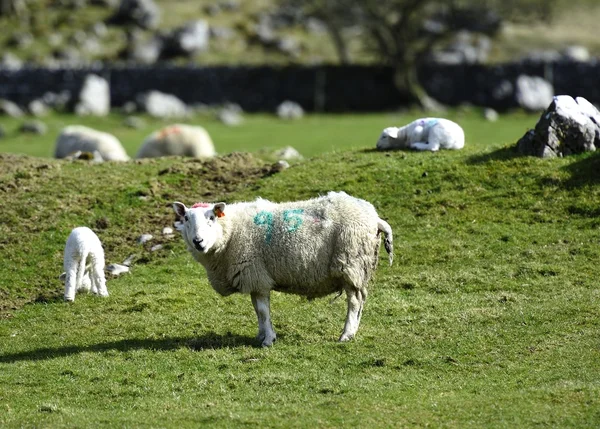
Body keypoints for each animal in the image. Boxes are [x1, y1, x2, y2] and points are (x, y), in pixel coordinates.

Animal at [171, 192, 394, 346]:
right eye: (186, 219)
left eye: (211, 218)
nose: (198, 241)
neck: (230, 233)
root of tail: (375, 218)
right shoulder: (254, 279)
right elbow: (257, 310)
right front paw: (261, 335)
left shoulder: (256, 275)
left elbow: (262, 311)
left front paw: (268, 340)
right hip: (359, 267)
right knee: (361, 299)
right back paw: (354, 331)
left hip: (350, 263)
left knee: (354, 301)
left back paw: (346, 334)